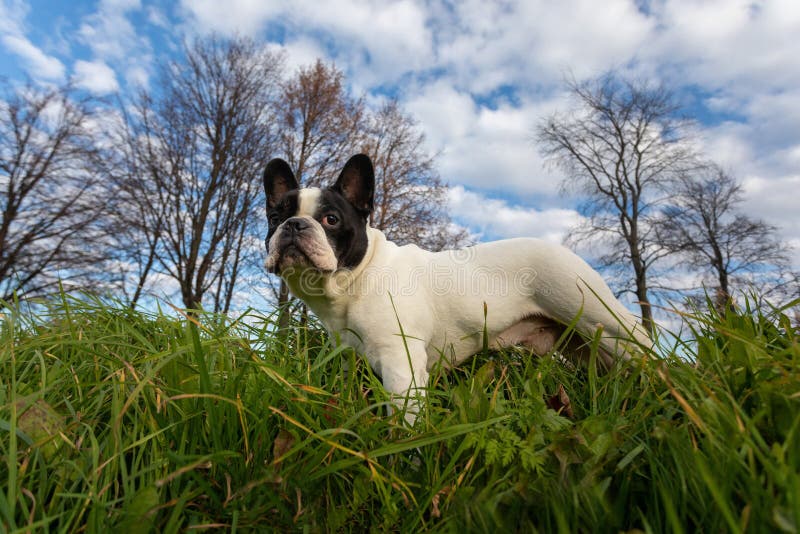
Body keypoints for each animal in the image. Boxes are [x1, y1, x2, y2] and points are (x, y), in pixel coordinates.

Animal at [266, 154, 652, 422]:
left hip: (605, 325)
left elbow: (404, 422)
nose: (294, 224)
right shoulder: (350, 362)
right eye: (274, 217)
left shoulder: (401, 366)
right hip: (581, 344)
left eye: (330, 219)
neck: (359, 278)